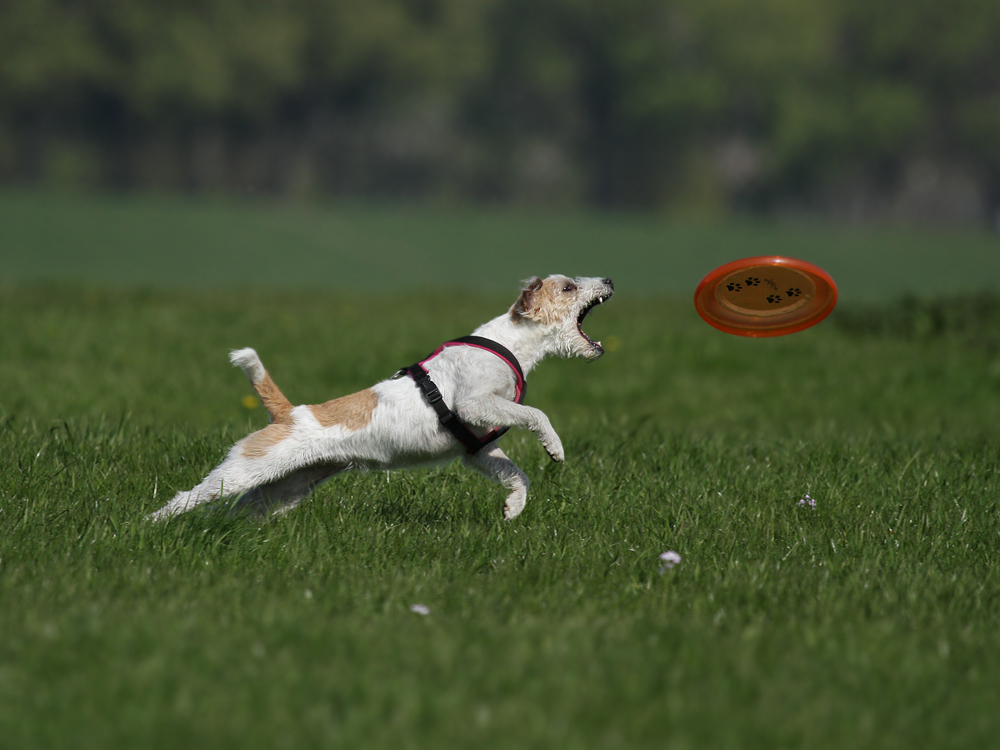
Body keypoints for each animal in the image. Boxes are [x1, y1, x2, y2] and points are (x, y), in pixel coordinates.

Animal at [145, 274, 612, 524]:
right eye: (569, 287)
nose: (608, 279)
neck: (510, 343)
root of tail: (287, 413)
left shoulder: (479, 450)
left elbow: (517, 475)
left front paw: (513, 508)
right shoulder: (474, 405)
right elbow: (535, 413)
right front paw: (554, 447)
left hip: (285, 487)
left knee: (241, 509)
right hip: (244, 470)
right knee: (188, 498)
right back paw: (152, 525)